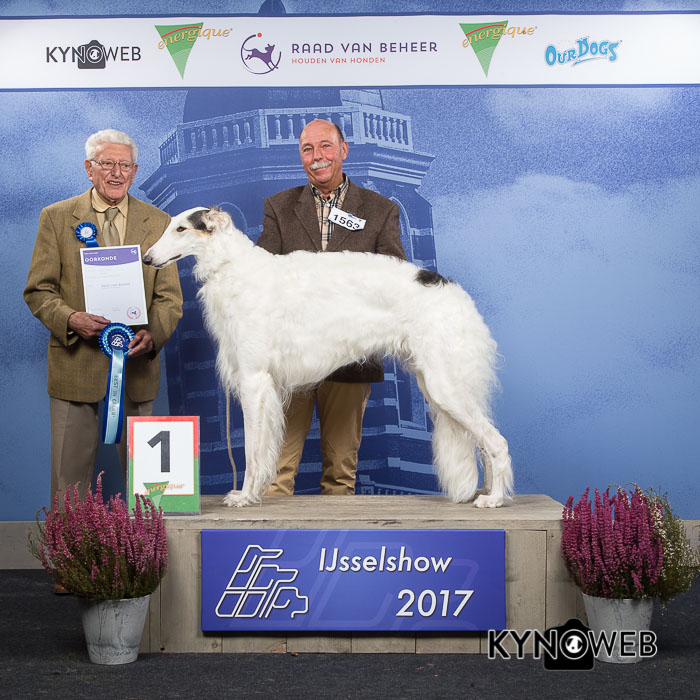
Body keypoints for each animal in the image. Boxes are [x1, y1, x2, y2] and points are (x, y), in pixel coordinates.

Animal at [144, 207, 513, 508]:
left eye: (181, 228)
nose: (146, 258)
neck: (231, 267)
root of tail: (455, 292)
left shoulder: (254, 380)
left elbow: (251, 450)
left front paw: (244, 495)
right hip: (437, 384)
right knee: (484, 444)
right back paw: (485, 493)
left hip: (446, 386)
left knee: (497, 442)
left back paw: (494, 498)